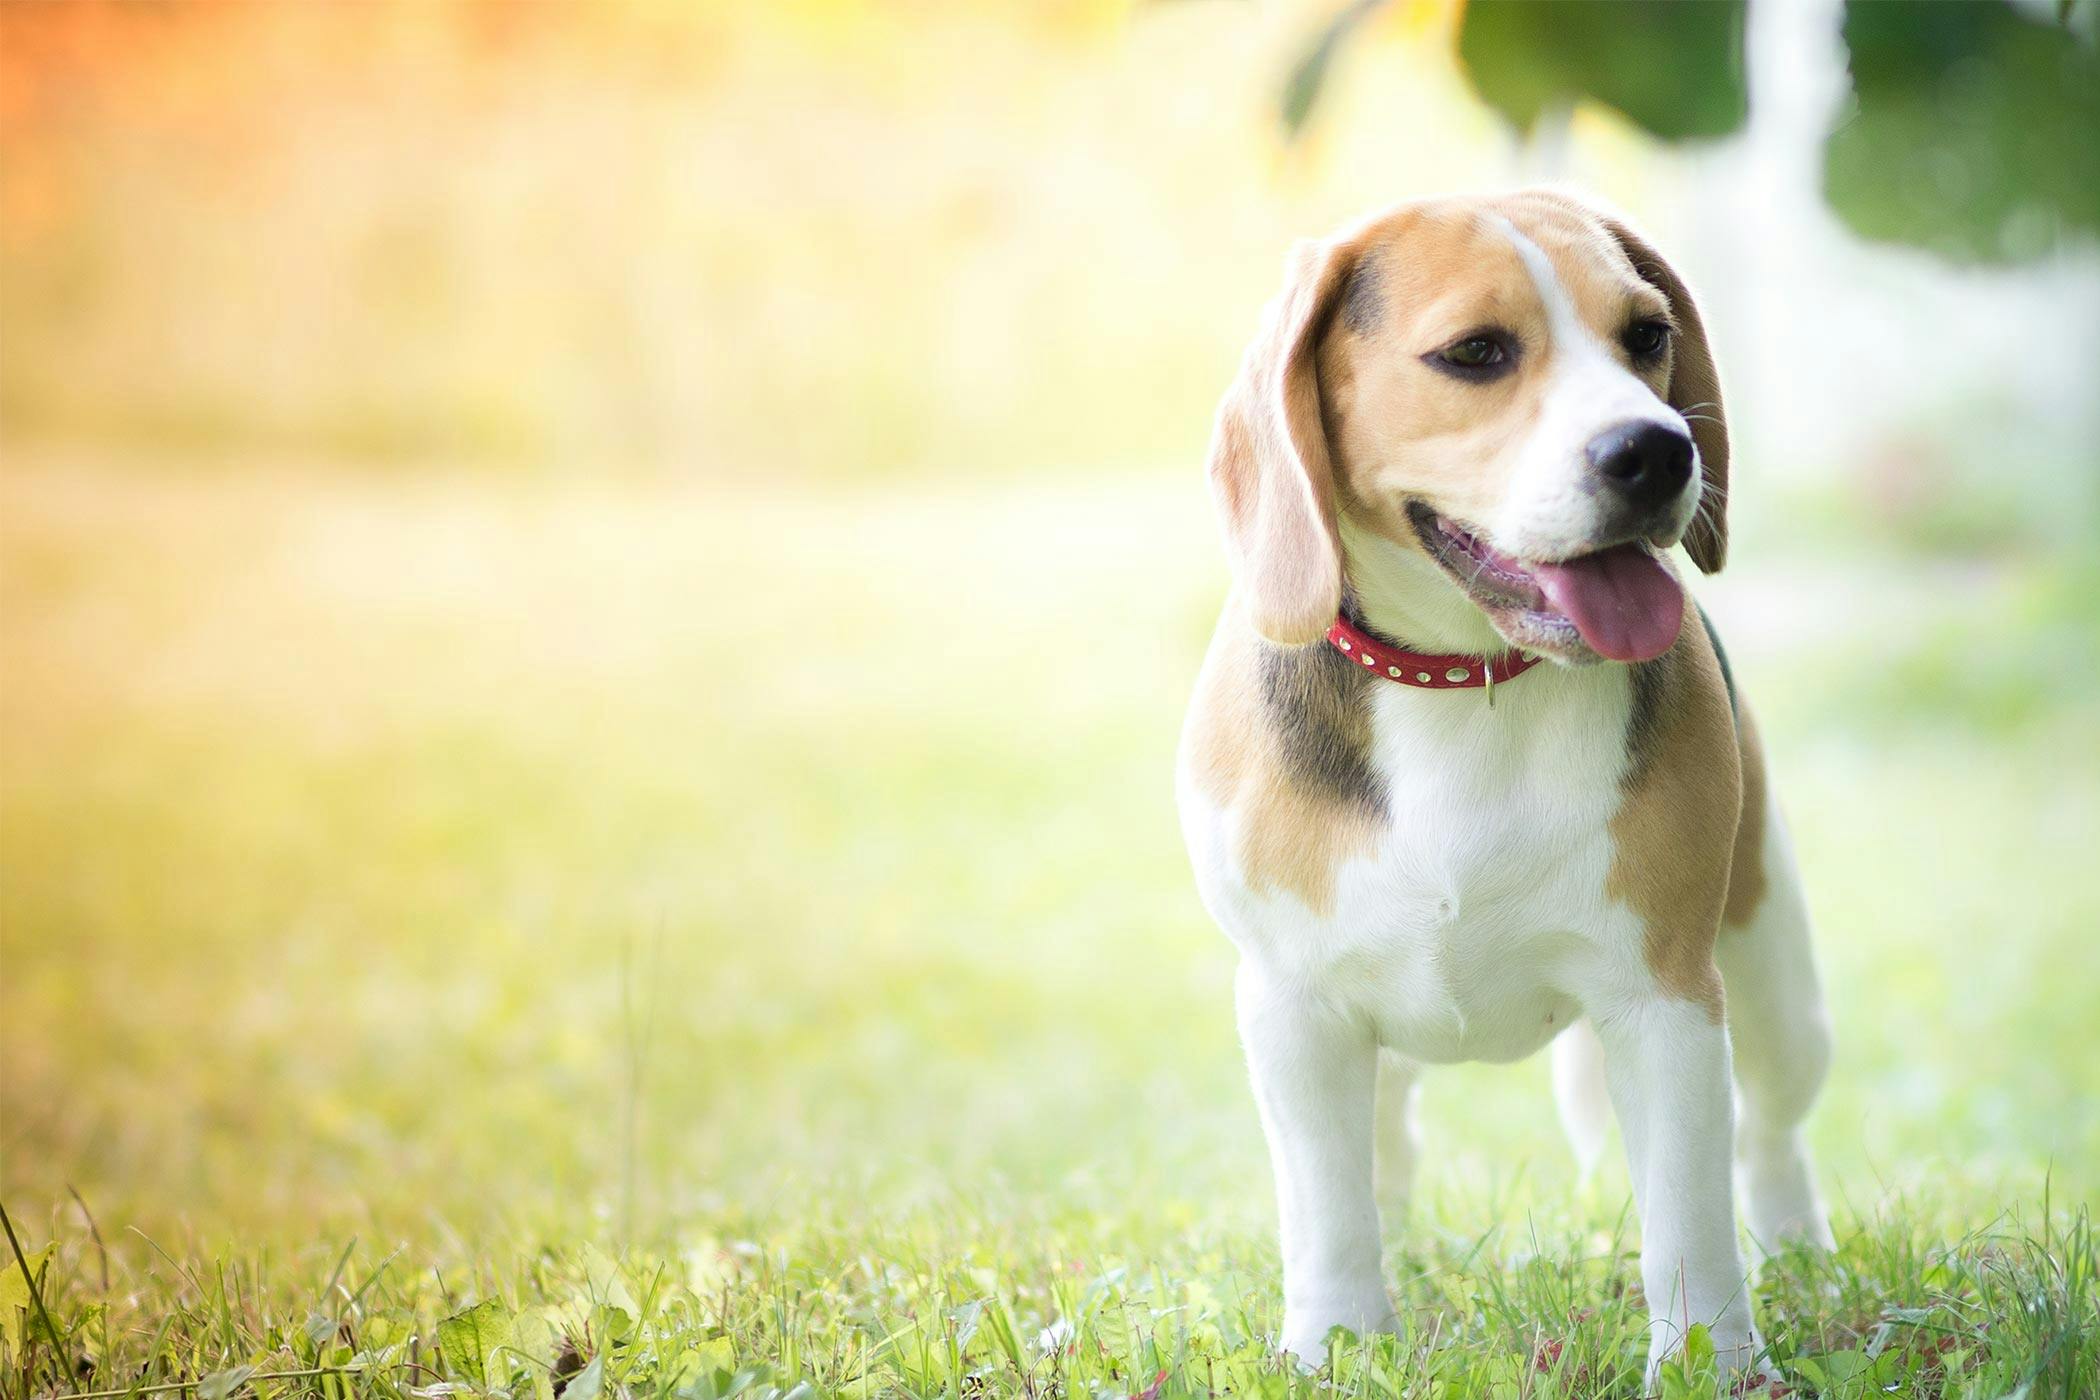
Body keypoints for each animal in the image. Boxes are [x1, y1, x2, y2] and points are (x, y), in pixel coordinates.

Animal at [1184, 192, 1839, 1385]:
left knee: (1769, 1133)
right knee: (1384, 1144)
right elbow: (1328, 1208)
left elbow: (1687, 1216)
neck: (1466, 680)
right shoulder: (1294, 1006)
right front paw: (1335, 1344)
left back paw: (1799, 1249)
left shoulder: (1664, 1001)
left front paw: (1713, 1366)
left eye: (1647, 335)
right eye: (1476, 353)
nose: (1659, 450)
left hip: (1774, 983)